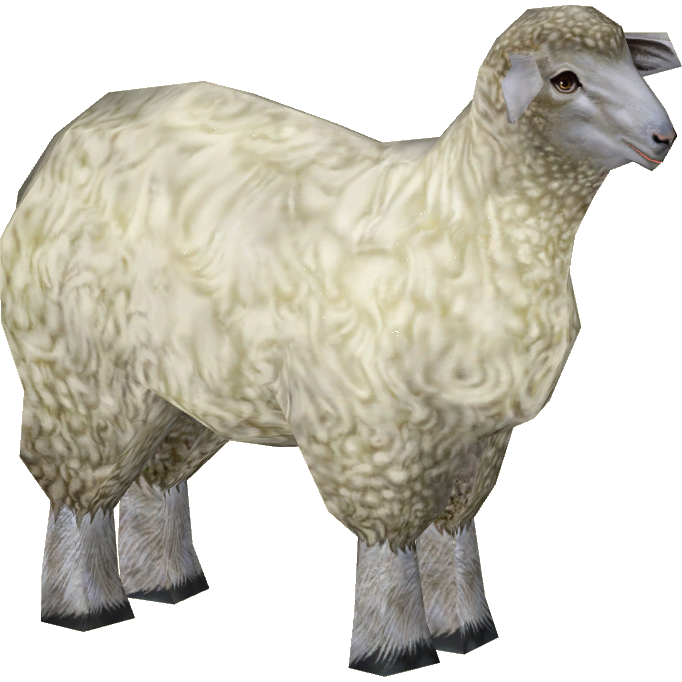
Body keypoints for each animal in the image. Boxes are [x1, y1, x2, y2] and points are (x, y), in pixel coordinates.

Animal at [0, 4, 679, 677]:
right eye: (565, 80)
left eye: (628, 60)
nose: (663, 137)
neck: (467, 212)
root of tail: (73, 130)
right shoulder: (372, 433)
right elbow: (389, 543)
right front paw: (394, 647)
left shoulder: (477, 435)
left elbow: (455, 530)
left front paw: (467, 628)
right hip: (81, 373)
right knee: (78, 495)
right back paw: (86, 604)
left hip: (186, 383)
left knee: (154, 479)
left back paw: (167, 580)